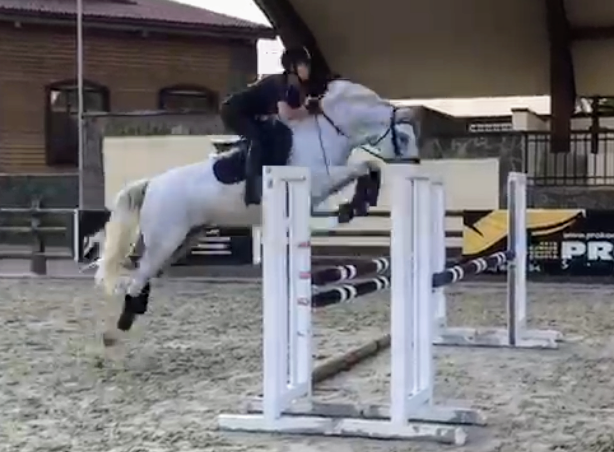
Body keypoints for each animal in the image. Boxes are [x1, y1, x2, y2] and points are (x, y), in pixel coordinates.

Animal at [94, 78, 421, 346]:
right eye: (404, 139)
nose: (416, 166)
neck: (326, 133)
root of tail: (152, 184)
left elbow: (369, 167)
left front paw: (356, 204)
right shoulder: (318, 180)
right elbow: (365, 166)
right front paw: (356, 204)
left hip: (183, 241)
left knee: (142, 277)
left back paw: (123, 325)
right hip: (166, 241)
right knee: (136, 279)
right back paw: (114, 332)